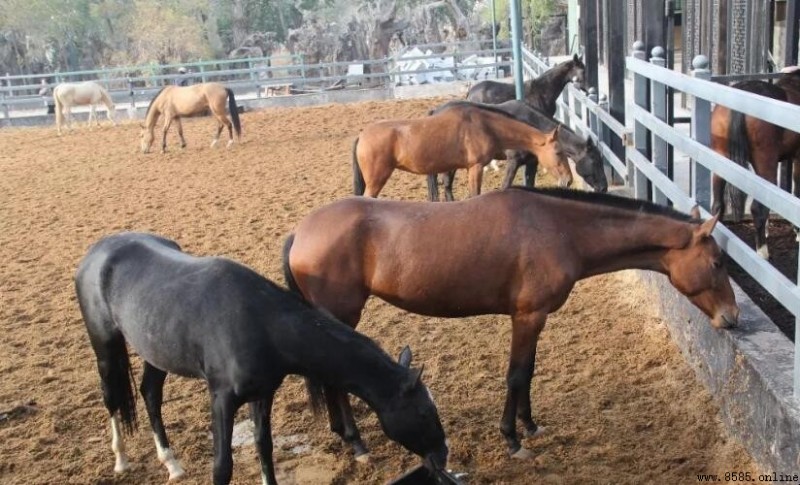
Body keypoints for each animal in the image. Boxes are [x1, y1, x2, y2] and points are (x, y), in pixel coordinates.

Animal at [75, 232, 448, 485]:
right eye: (423, 412)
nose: (443, 456)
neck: (259, 322)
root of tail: (97, 252)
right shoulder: (222, 399)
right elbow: (222, 466)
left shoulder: (262, 394)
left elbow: (263, 447)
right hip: (105, 346)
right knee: (111, 398)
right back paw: (121, 460)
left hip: (155, 351)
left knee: (150, 394)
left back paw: (172, 462)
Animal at [283, 188, 738, 459]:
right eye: (717, 262)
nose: (732, 317)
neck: (558, 229)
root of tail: (300, 232)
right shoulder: (528, 316)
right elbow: (517, 375)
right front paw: (512, 438)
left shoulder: (533, 318)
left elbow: (529, 372)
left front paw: (530, 425)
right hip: (341, 316)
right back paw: (356, 442)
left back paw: (342, 433)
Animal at [352, 103, 573, 199]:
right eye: (559, 152)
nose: (569, 180)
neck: (484, 125)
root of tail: (361, 136)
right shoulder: (475, 168)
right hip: (377, 180)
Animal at [427, 100, 607, 201]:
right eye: (596, 162)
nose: (604, 188)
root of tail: (435, 112)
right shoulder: (513, 162)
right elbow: (505, 185)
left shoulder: (532, 163)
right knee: (446, 183)